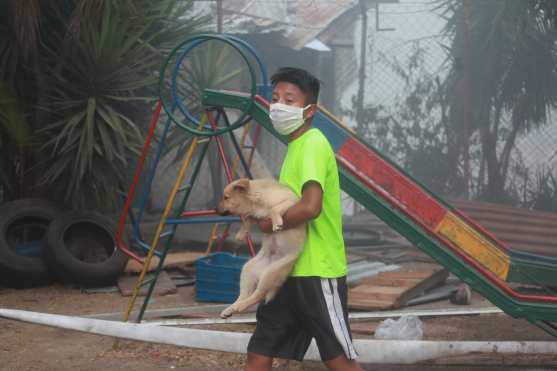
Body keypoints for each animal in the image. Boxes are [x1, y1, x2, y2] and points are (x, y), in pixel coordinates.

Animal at [216, 179, 304, 318]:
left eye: (226, 197)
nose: (215, 210)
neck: (256, 202)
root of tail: (263, 270)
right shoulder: (255, 215)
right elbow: (247, 219)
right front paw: (241, 233)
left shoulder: (291, 200)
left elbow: (273, 209)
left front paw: (276, 223)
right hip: (247, 270)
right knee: (244, 295)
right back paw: (231, 309)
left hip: (271, 272)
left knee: (259, 295)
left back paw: (239, 307)